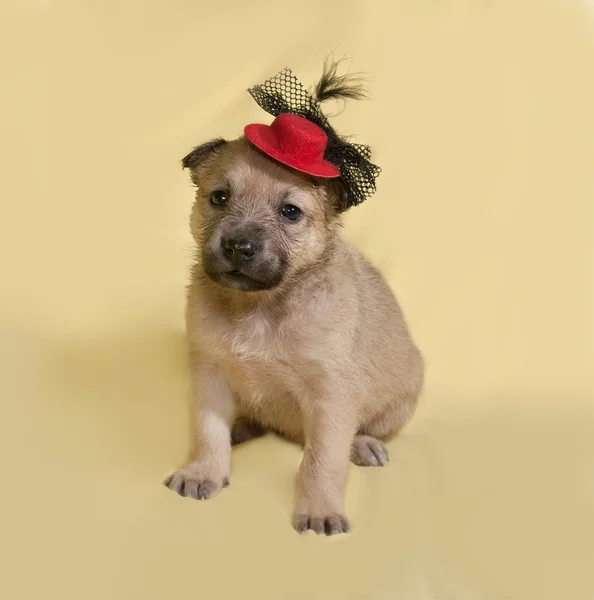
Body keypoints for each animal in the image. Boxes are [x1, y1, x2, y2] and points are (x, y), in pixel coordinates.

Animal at [164, 70, 424, 536]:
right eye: (219, 197)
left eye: (290, 212)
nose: (238, 246)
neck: (259, 307)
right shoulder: (209, 373)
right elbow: (208, 429)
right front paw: (204, 472)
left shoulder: (330, 396)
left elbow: (322, 460)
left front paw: (320, 509)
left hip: (401, 396)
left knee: (367, 431)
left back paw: (365, 444)